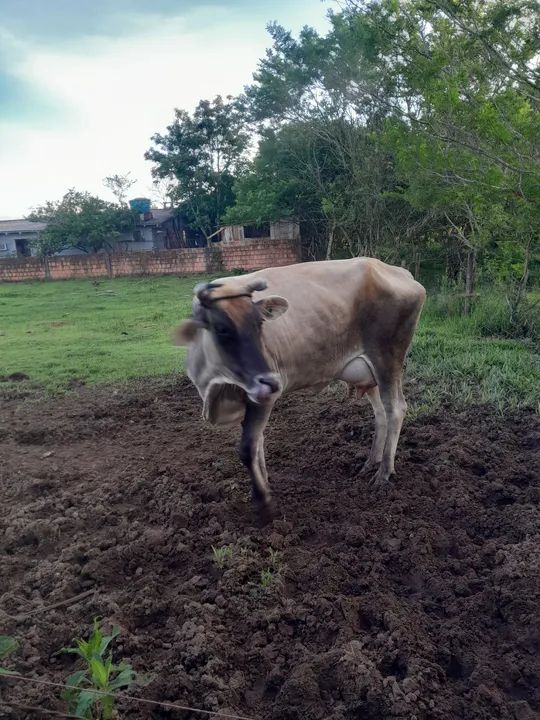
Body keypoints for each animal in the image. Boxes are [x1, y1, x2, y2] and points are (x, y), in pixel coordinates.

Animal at [175, 258, 426, 507]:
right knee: (380, 413)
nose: (270, 380)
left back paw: (383, 473)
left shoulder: (264, 397)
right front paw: (263, 484)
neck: (216, 387)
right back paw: (370, 463)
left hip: (387, 359)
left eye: (260, 325)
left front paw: (261, 498)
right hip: (368, 372)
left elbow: (248, 448)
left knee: (395, 409)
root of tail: (397, 271)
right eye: (221, 328)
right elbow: (258, 443)